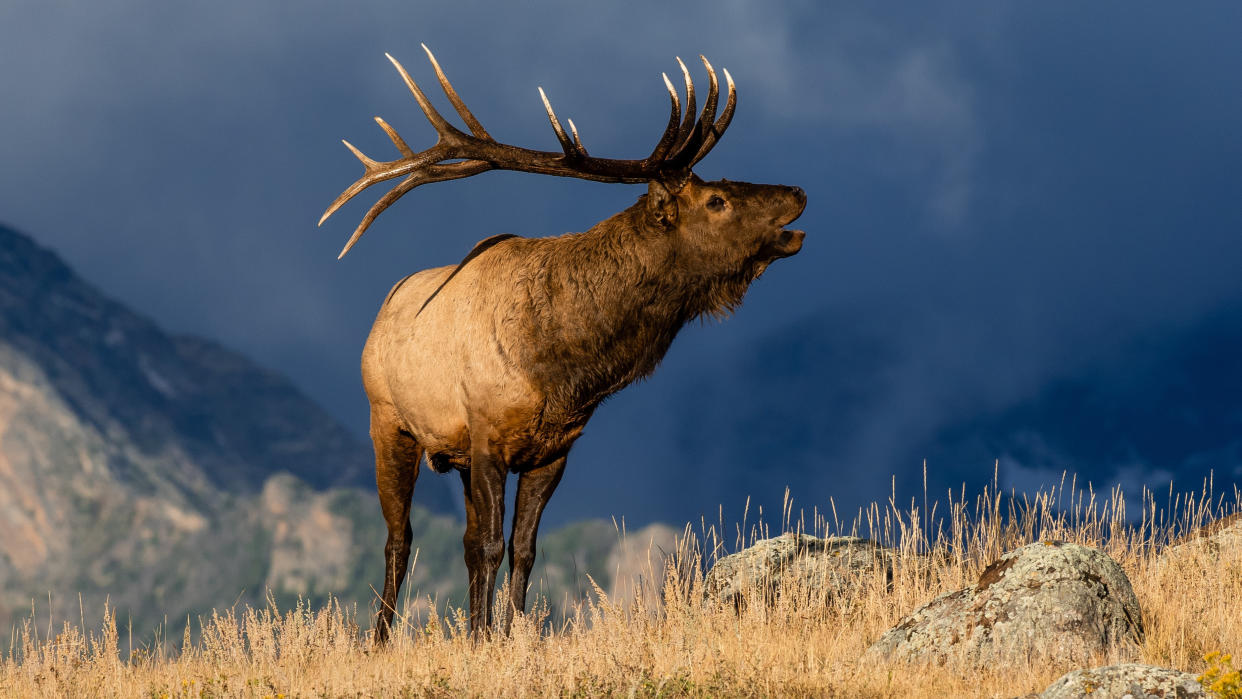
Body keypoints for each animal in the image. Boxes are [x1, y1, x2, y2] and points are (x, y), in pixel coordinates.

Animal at [317, 46, 804, 640]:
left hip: (452, 453)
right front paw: (483, 640)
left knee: (458, 540)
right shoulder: (487, 435)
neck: (563, 367)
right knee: (398, 539)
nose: (798, 192)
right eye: (716, 200)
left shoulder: (554, 449)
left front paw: (507, 634)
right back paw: (380, 639)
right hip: (388, 422)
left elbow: (522, 550)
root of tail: (381, 311)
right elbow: (489, 546)